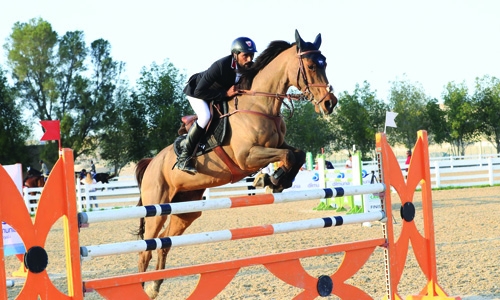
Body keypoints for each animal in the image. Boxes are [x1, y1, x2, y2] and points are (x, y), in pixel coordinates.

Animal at [134, 30, 336, 298]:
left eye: (325, 63)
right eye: (312, 66)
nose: (330, 103)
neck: (260, 105)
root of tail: (151, 163)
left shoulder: (278, 145)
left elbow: (298, 155)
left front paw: (275, 181)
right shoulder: (247, 156)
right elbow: (288, 157)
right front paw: (269, 180)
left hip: (186, 210)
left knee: (164, 244)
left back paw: (155, 285)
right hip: (156, 207)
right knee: (146, 249)